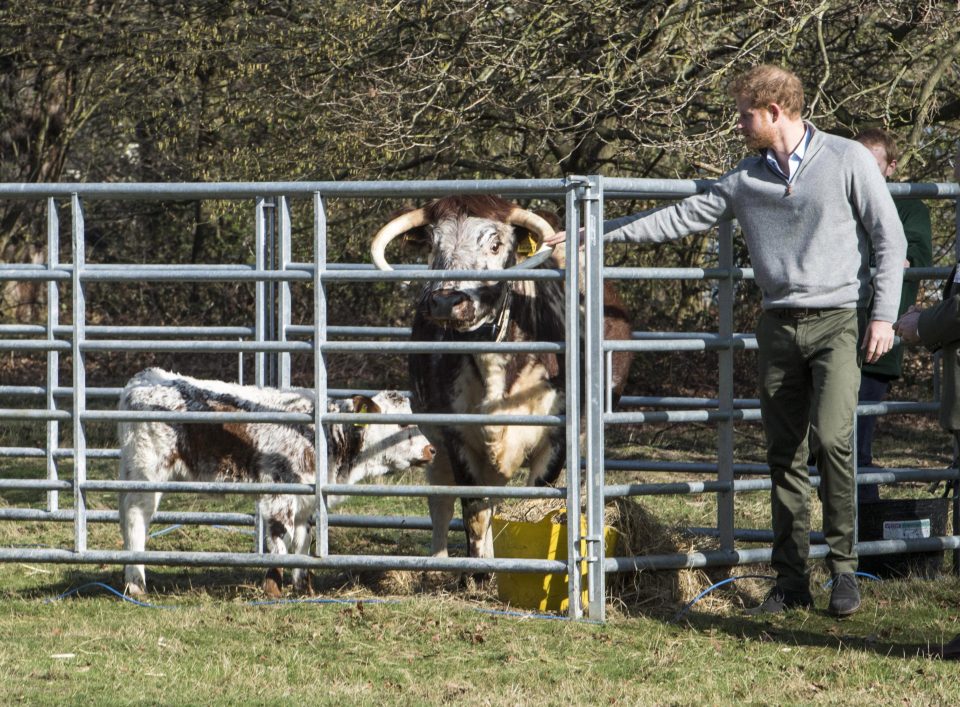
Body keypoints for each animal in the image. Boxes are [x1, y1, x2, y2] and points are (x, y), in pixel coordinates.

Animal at [118, 370, 434, 596]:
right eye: (401, 424)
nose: (431, 449)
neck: (327, 436)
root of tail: (143, 378)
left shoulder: (307, 500)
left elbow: (303, 542)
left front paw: (304, 589)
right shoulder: (279, 493)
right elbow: (281, 540)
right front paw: (273, 591)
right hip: (147, 474)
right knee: (135, 519)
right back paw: (136, 584)